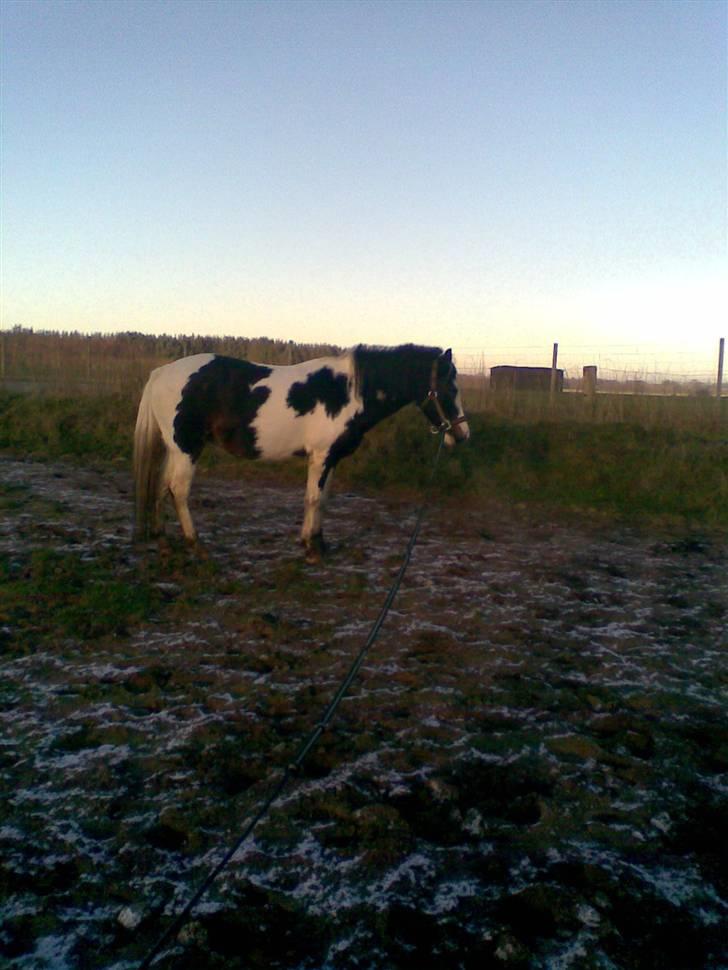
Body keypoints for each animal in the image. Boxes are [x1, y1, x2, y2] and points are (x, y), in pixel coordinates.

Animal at [133, 342, 470, 560]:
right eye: (450, 388)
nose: (462, 434)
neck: (348, 391)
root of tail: (160, 373)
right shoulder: (321, 456)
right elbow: (314, 498)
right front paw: (314, 548)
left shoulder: (329, 458)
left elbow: (322, 499)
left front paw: (314, 542)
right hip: (187, 448)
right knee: (178, 489)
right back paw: (195, 544)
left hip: (174, 448)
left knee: (161, 487)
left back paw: (163, 541)